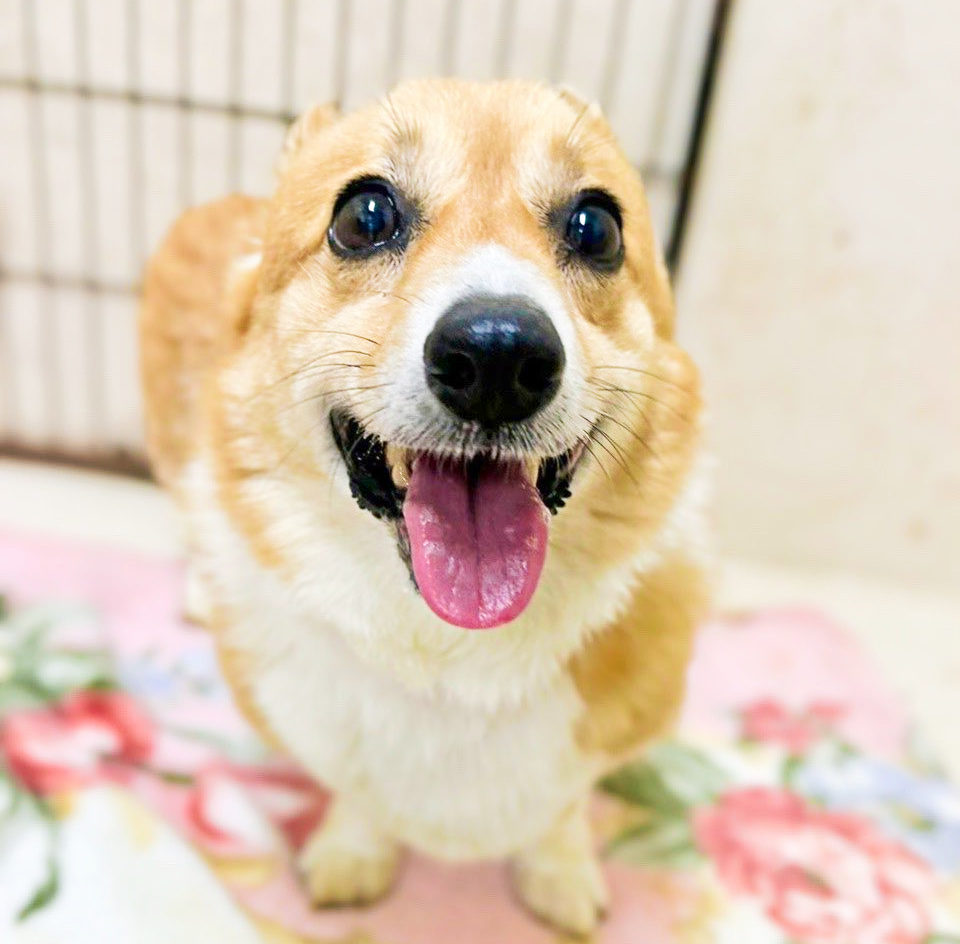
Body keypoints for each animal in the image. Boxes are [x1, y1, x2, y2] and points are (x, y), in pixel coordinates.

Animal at [140, 78, 708, 936]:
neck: (449, 653)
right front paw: (353, 853)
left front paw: (560, 874)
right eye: (364, 216)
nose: (499, 355)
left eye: (597, 227)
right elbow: (358, 792)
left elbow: (563, 806)